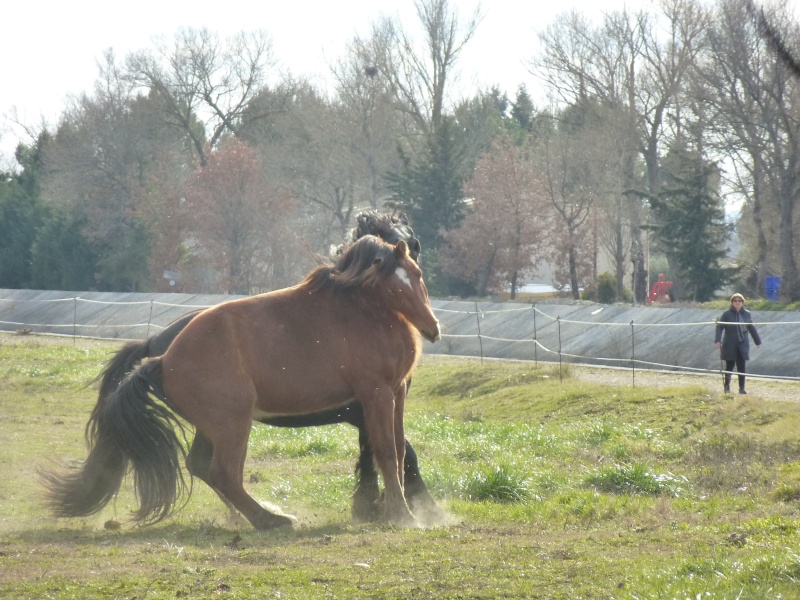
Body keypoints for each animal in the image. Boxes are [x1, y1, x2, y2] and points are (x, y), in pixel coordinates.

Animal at [42, 238, 444, 528]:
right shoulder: (375, 395)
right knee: (224, 473)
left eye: (417, 274)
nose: (433, 328)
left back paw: (256, 516)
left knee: (207, 468)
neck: (365, 311)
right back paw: (271, 520)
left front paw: (402, 509)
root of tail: (163, 359)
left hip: (215, 426)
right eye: (395, 286)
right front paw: (405, 515)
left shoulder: (395, 393)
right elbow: (388, 453)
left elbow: (397, 449)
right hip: (234, 422)